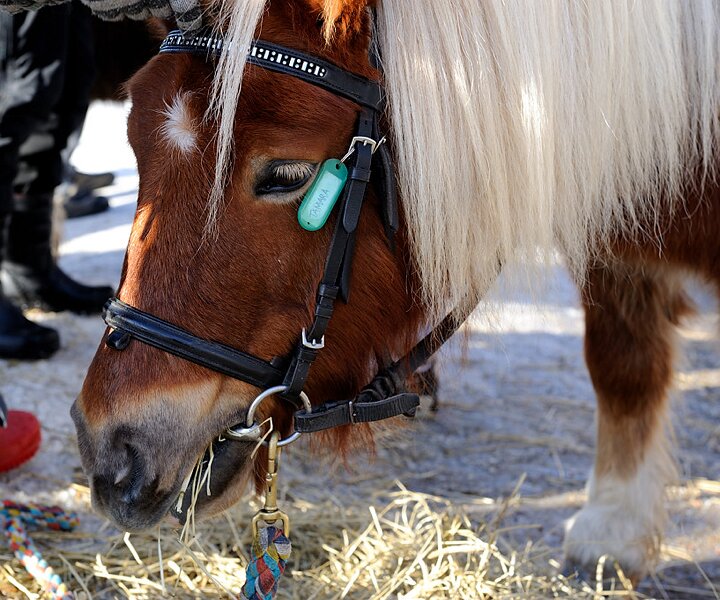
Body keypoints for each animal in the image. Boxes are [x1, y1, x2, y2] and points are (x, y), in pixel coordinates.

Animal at [70, 0, 720, 584]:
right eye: (135, 147)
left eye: (286, 176)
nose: (111, 448)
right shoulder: (618, 228)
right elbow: (622, 365)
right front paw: (614, 529)